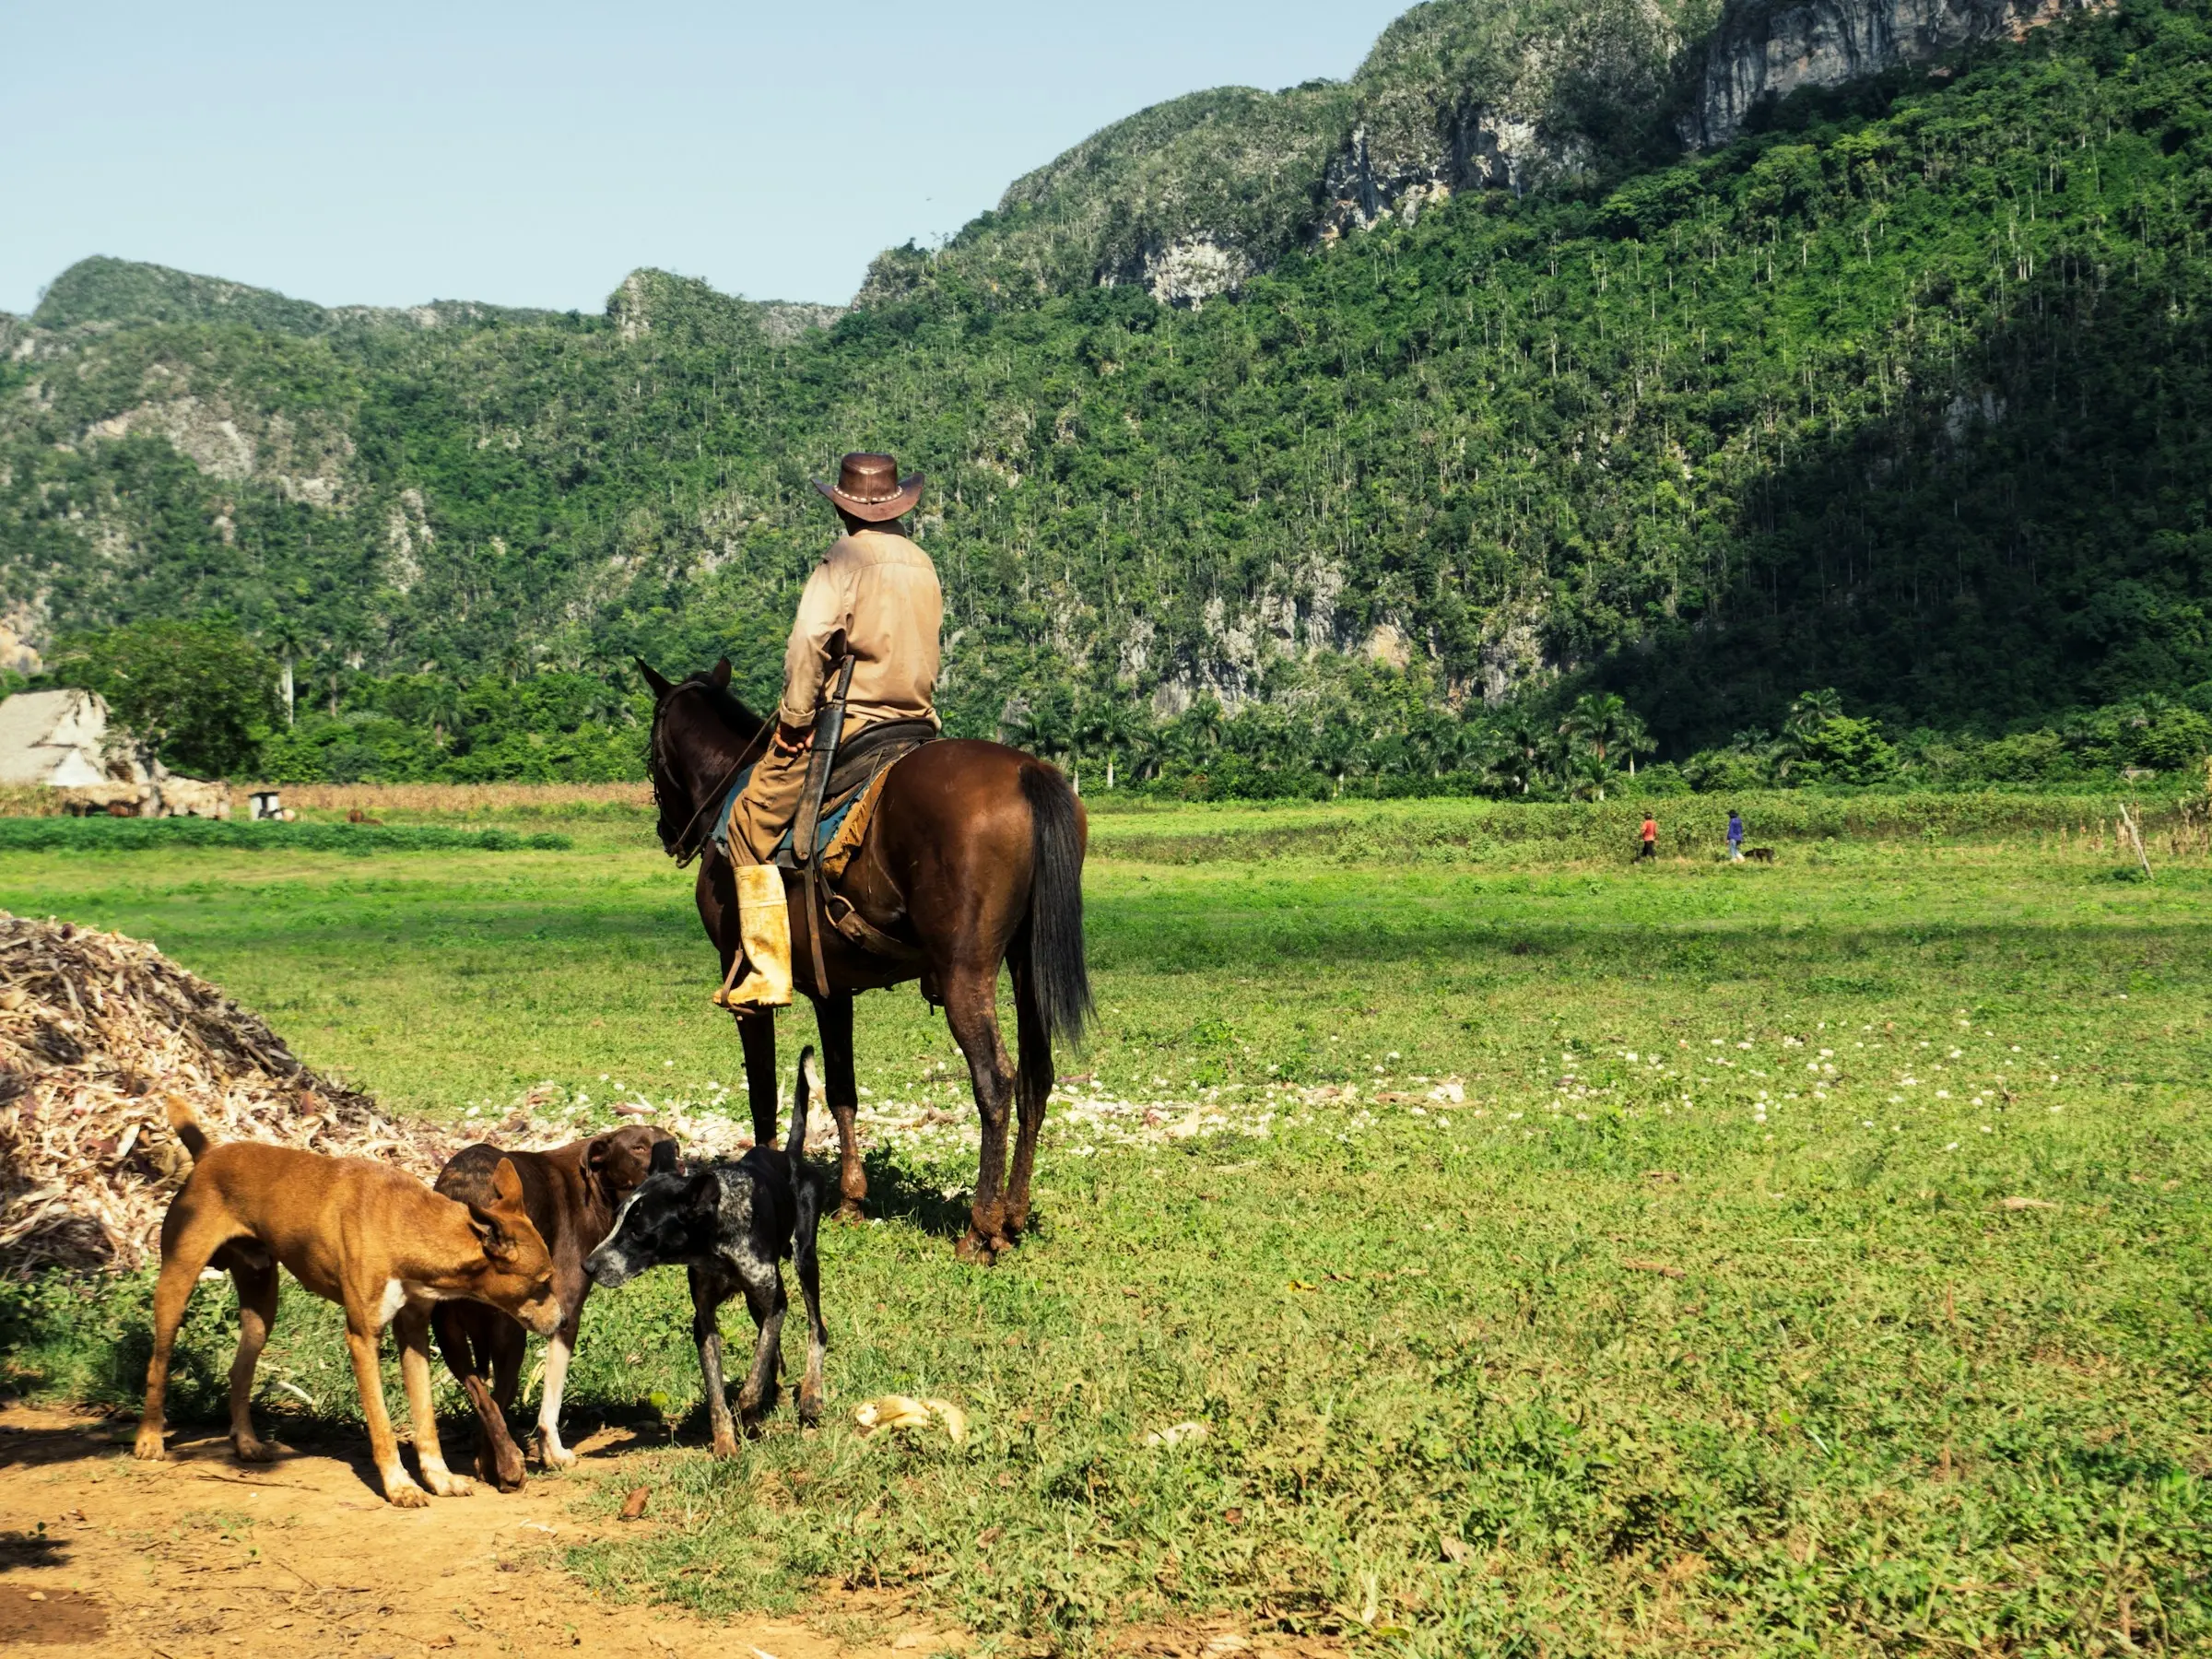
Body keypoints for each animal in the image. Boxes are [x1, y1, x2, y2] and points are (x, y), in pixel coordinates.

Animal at [134, 1106, 561, 1504]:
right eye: (543, 1281)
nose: (561, 1323)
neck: (405, 1225)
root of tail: (208, 1155)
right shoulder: (362, 1337)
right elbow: (382, 1422)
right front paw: (399, 1486)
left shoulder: (413, 1333)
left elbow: (425, 1418)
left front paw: (440, 1478)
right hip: (177, 1280)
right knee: (157, 1362)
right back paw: (150, 1439)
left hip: (261, 1305)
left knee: (239, 1372)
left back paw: (247, 1443)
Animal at [431, 1132, 672, 1495]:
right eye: (638, 1147)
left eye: (673, 1145)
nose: (679, 1165)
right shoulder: (566, 1312)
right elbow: (551, 1397)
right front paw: (553, 1453)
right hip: (510, 1335)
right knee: (499, 1397)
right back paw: (506, 1467)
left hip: (451, 1337)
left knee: (486, 1399)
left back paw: (493, 1462)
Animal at [588, 1053, 831, 1451]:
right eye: (617, 1218)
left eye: (639, 1231)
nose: (587, 1266)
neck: (717, 1240)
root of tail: (789, 1156)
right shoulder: (703, 1319)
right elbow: (719, 1389)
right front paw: (725, 1444)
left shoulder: (775, 1301)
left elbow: (752, 1378)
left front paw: (748, 1411)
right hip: (755, 1300)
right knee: (775, 1350)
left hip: (804, 1260)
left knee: (816, 1329)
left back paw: (810, 1395)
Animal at [637, 654, 1092, 1265]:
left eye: (652, 754)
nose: (669, 832)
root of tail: (1027, 772)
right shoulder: (833, 991)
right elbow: (842, 1089)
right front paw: (852, 1200)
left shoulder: (749, 992)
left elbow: (762, 1092)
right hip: (1025, 968)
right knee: (1036, 1079)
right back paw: (1013, 1216)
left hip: (965, 975)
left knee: (996, 1082)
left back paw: (981, 1227)